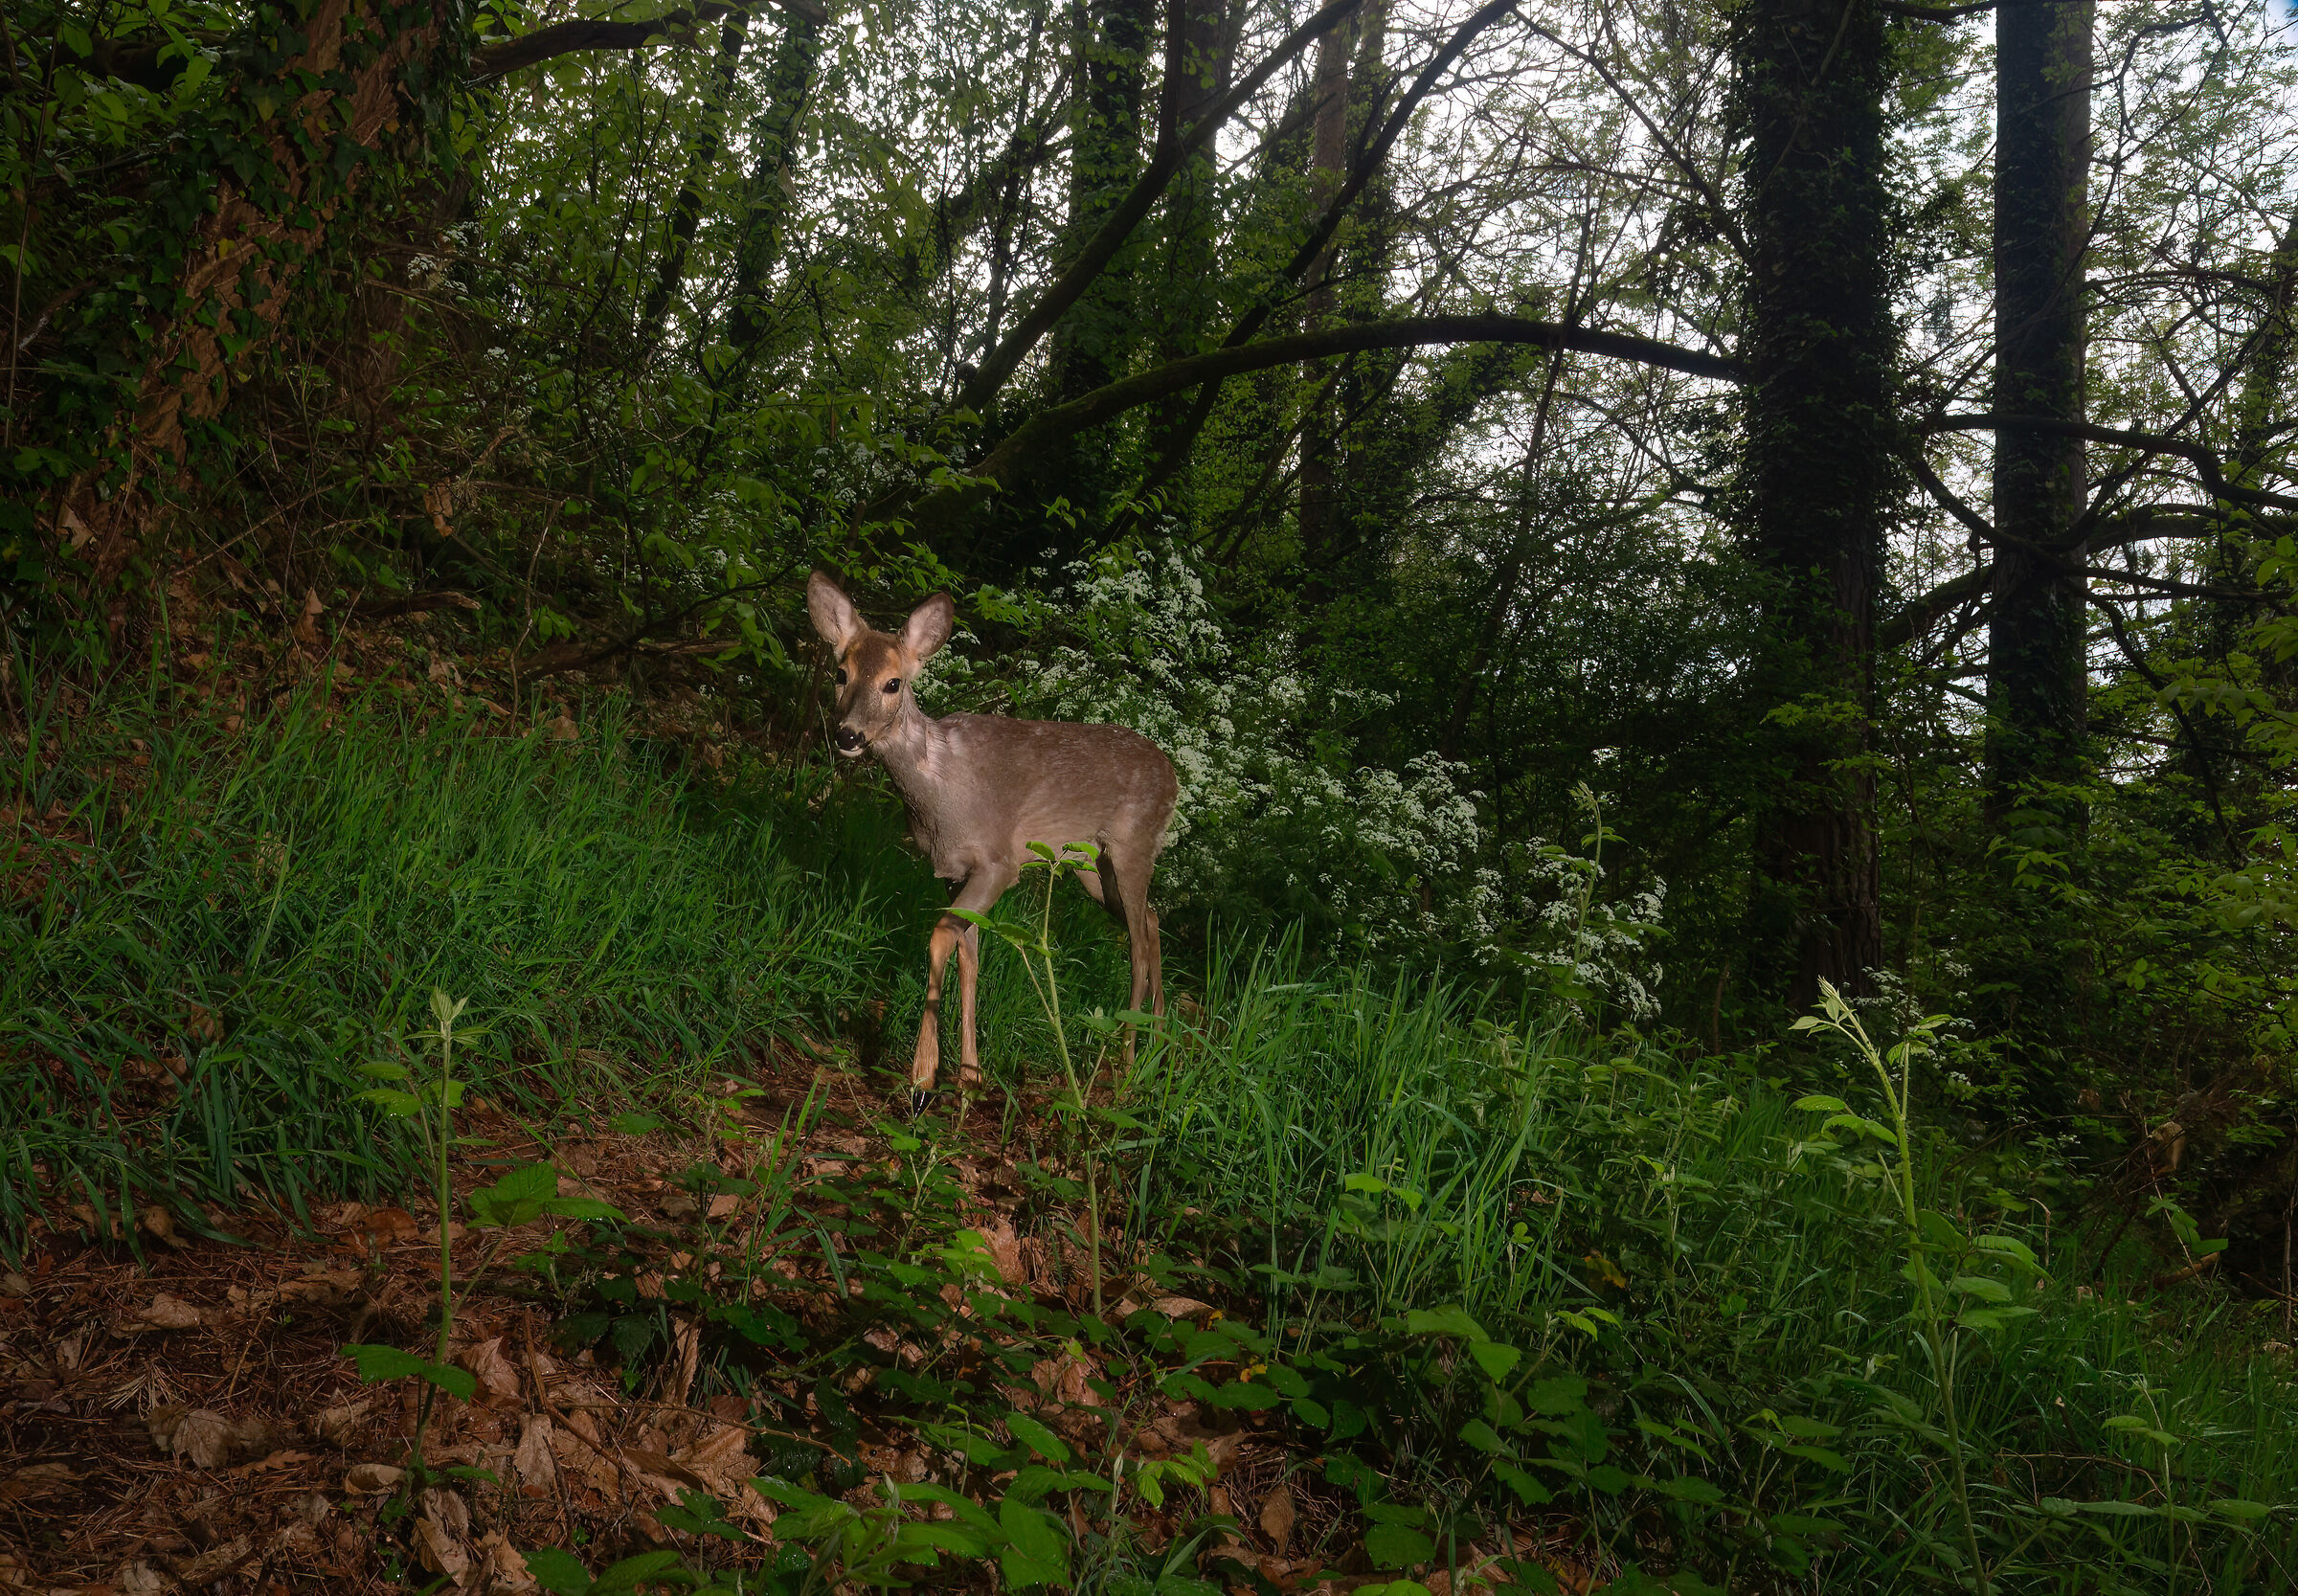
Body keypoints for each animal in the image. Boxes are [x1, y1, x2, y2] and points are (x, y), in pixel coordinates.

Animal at [806, 572, 1179, 1106]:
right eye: (841, 674)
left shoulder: (999, 862)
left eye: (893, 682)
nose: (848, 735)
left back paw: (1128, 1065)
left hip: (1134, 845)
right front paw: (969, 1075)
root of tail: (1175, 776)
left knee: (1137, 944)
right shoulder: (952, 870)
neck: (940, 793)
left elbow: (941, 936)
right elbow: (970, 955)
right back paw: (1160, 1041)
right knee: (1150, 920)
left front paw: (924, 1075)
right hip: (1090, 866)